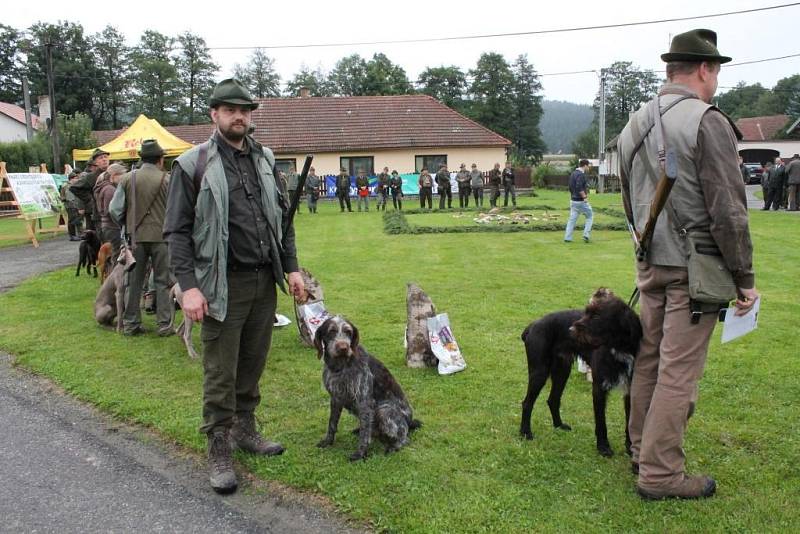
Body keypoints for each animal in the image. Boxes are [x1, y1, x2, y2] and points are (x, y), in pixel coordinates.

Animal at [314, 316, 422, 462]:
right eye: (331, 331)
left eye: (348, 332)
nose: (343, 347)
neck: (341, 366)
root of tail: (410, 422)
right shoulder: (335, 399)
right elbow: (332, 424)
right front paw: (328, 442)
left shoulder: (364, 402)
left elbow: (365, 434)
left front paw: (360, 453)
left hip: (383, 411)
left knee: (403, 438)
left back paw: (393, 446)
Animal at [520, 292, 644, 458]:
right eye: (586, 312)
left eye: (597, 316)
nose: (571, 329)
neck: (619, 348)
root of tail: (532, 325)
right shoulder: (599, 388)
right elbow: (601, 422)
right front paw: (603, 447)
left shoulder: (630, 391)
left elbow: (630, 422)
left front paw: (630, 448)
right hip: (539, 372)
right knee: (527, 403)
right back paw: (525, 432)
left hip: (562, 371)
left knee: (553, 399)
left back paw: (559, 425)